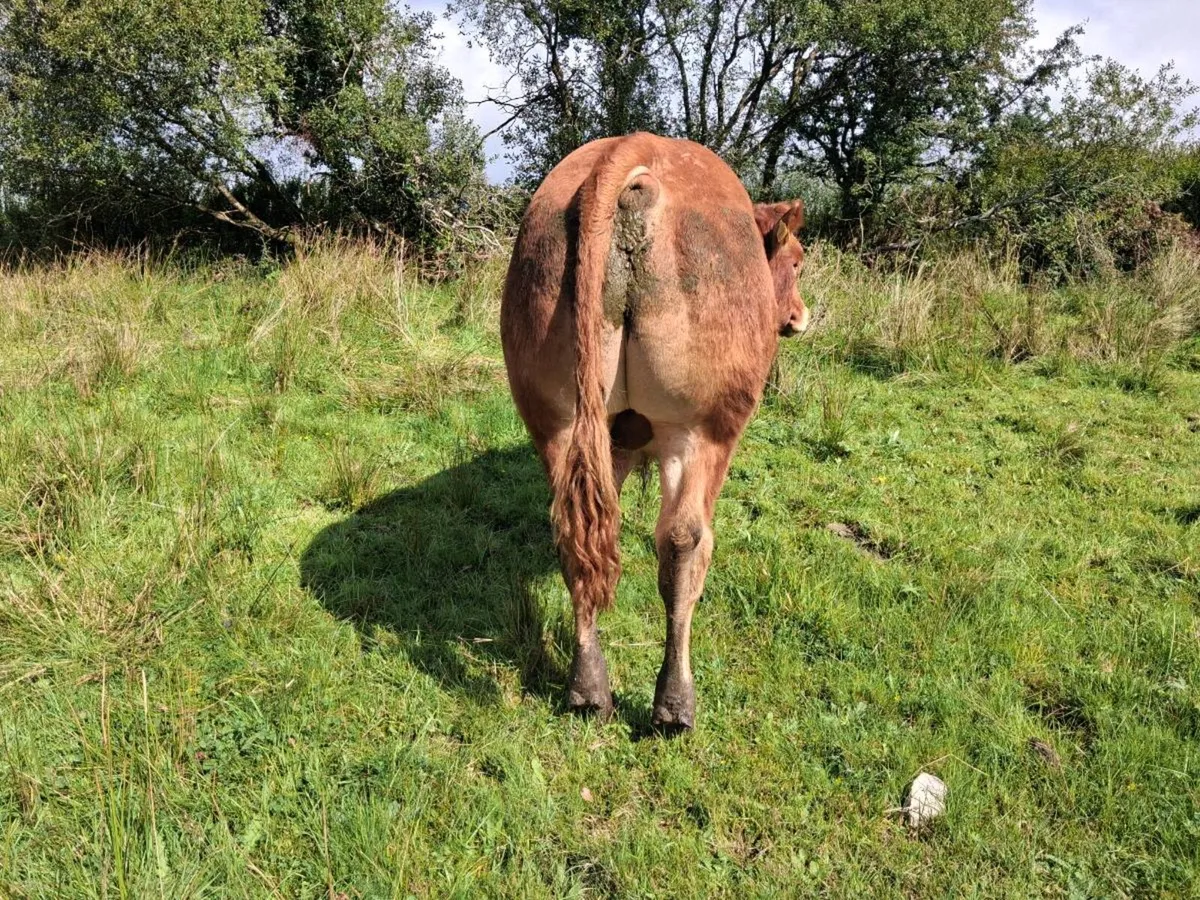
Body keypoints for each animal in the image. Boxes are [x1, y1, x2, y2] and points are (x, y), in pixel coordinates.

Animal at [500, 132, 808, 732]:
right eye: (798, 263)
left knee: (575, 535)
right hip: (701, 426)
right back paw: (675, 702)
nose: (801, 316)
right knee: (685, 542)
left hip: (559, 417)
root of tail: (632, 149)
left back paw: (587, 689)